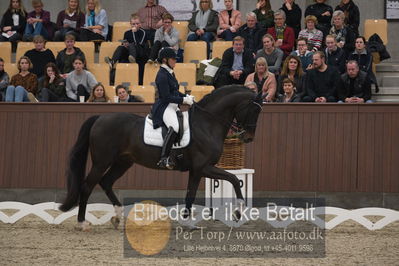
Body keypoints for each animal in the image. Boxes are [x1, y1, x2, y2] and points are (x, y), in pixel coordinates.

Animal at [59, 85, 266, 231]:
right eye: (254, 110)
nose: (248, 138)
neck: (207, 124)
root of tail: (100, 117)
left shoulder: (197, 170)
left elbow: (191, 194)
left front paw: (188, 223)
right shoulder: (203, 167)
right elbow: (233, 179)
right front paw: (238, 210)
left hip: (123, 162)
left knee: (106, 182)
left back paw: (118, 218)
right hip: (102, 162)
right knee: (87, 186)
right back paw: (82, 223)